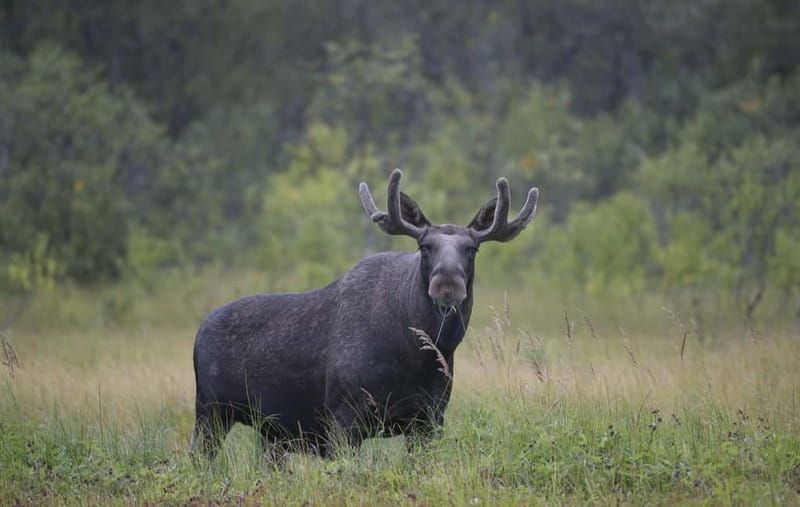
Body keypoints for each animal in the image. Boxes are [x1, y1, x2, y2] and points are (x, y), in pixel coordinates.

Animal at [192, 169, 538, 459]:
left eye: (472, 249)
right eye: (424, 247)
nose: (447, 283)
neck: (417, 354)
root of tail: (198, 334)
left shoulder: (429, 418)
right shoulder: (344, 416)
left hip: (270, 433)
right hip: (210, 411)